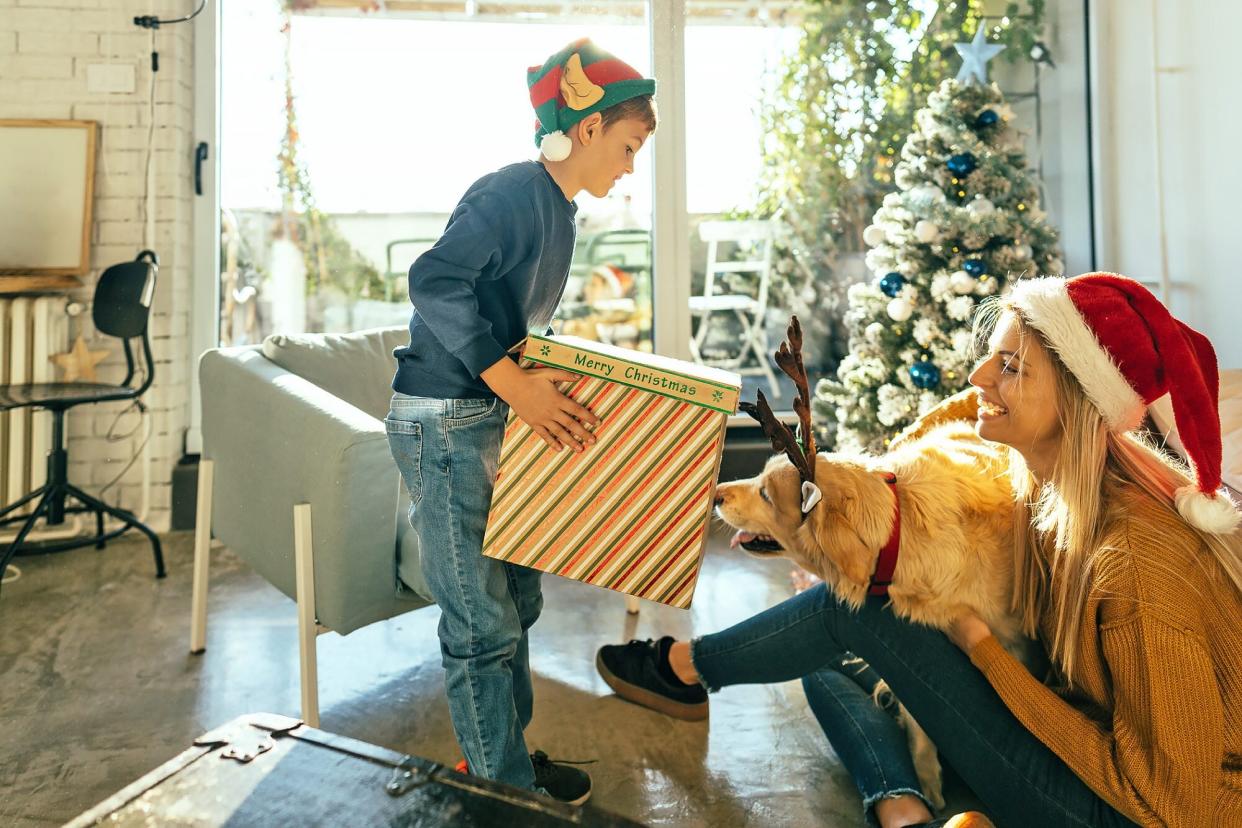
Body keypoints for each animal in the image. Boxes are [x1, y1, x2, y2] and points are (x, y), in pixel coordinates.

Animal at [720, 317, 1028, 809]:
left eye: (766, 493)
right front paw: (928, 778)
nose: (716, 493)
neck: (900, 534)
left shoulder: (1014, 643)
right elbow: (919, 719)